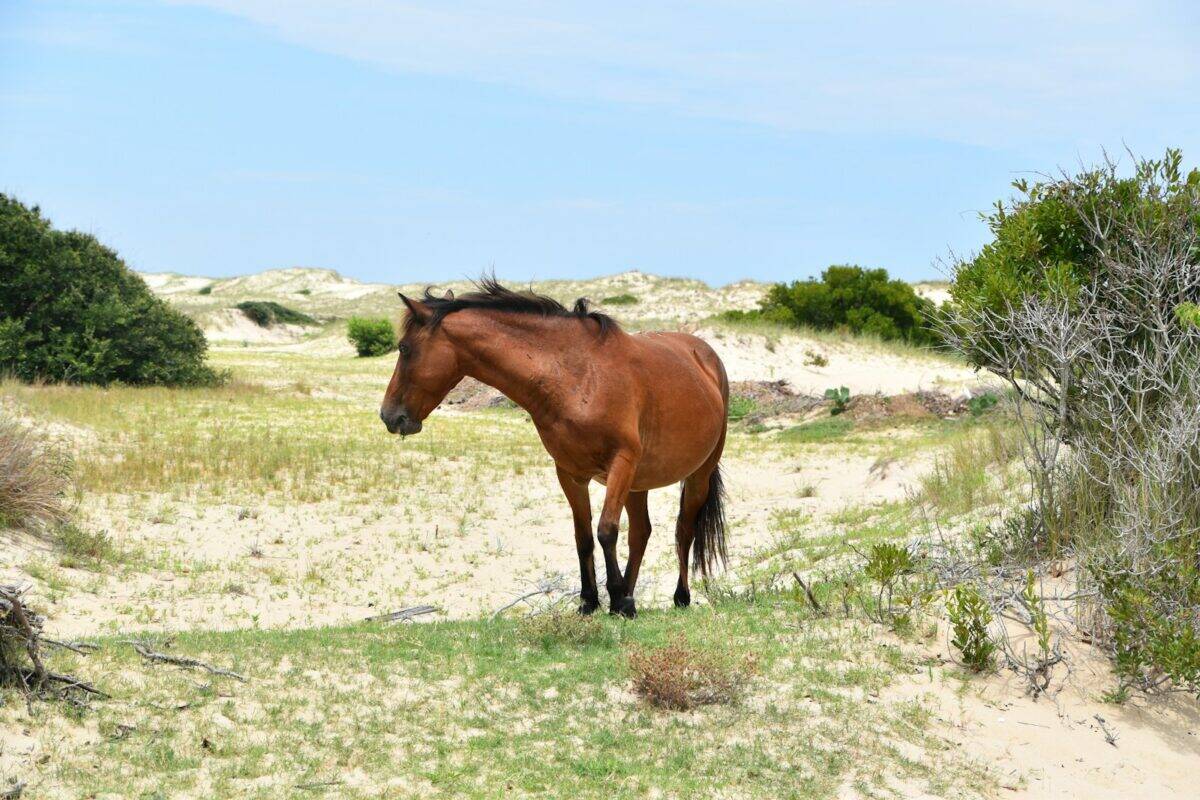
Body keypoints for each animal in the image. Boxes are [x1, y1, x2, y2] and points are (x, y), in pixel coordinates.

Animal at [379, 278, 729, 618]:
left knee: (683, 530)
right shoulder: (570, 473)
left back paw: (678, 596)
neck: (578, 376)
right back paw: (631, 595)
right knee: (640, 533)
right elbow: (583, 537)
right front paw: (591, 602)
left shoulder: (621, 463)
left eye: (404, 348)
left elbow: (606, 530)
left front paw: (617, 600)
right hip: (637, 484)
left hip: (697, 475)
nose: (389, 415)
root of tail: (705, 356)